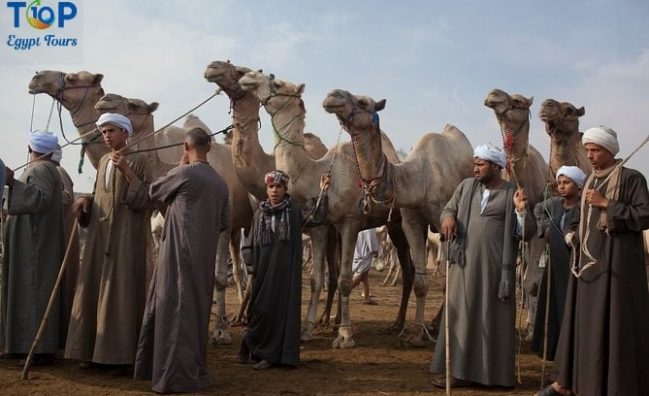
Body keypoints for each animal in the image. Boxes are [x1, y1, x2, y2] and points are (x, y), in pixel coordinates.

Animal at [238, 69, 416, 348]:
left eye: (277, 83)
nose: (249, 76)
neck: (316, 172)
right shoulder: (321, 227)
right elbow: (316, 279)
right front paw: (308, 328)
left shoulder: (350, 223)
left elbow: (344, 278)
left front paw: (345, 334)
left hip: (397, 224)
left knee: (409, 269)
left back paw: (400, 325)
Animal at [322, 89, 470, 344]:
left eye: (364, 102)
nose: (332, 95)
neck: (420, 178)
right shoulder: (411, 221)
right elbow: (420, 281)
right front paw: (416, 332)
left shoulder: (445, 224)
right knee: (411, 272)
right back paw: (401, 323)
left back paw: (437, 323)